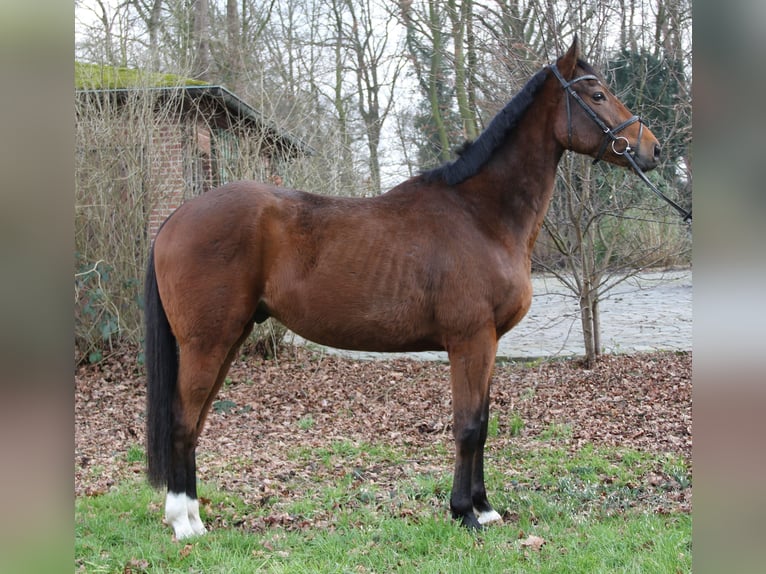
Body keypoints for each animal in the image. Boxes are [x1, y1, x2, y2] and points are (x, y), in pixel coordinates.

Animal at [147, 38, 664, 544]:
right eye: (596, 95)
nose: (653, 149)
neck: (482, 215)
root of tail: (175, 218)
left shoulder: (490, 344)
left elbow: (484, 423)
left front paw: (485, 508)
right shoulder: (470, 340)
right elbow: (467, 426)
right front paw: (464, 513)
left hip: (229, 339)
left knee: (196, 421)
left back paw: (194, 518)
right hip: (208, 342)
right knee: (183, 420)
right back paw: (183, 524)